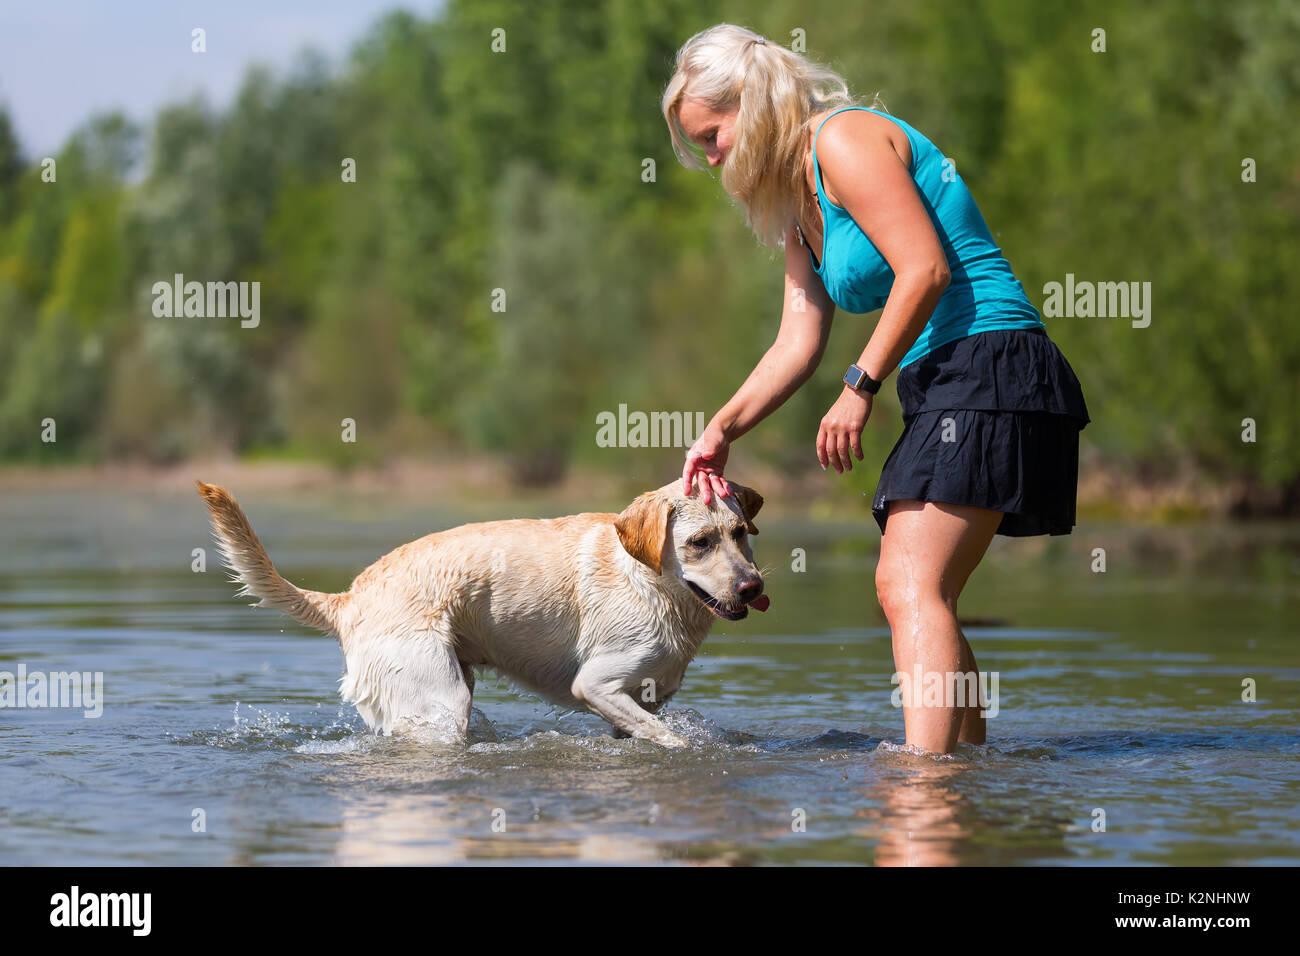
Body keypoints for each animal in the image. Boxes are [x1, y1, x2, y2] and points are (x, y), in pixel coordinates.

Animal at [196, 478, 764, 749]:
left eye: (740, 533)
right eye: (699, 542)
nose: (754, 586)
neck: (651, 582)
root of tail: (350, 598)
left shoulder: (642, 700)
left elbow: (646, 729)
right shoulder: (596, 685)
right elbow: (672, 738)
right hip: (440, 702)